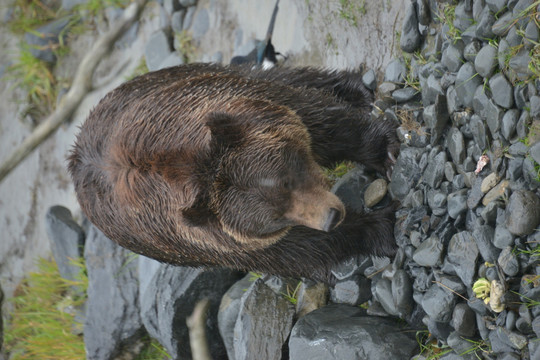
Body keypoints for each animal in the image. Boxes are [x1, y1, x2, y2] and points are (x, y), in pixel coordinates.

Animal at [67, 63, 398, 282]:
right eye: (275, 217)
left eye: (287, 178)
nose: (330, 217)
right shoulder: (217, 242)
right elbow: (300, 249)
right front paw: (380, 227)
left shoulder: (243, 106)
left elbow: (326, 125)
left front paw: (384, 149)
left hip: (183, 78)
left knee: (282, 76)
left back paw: (354, 87)